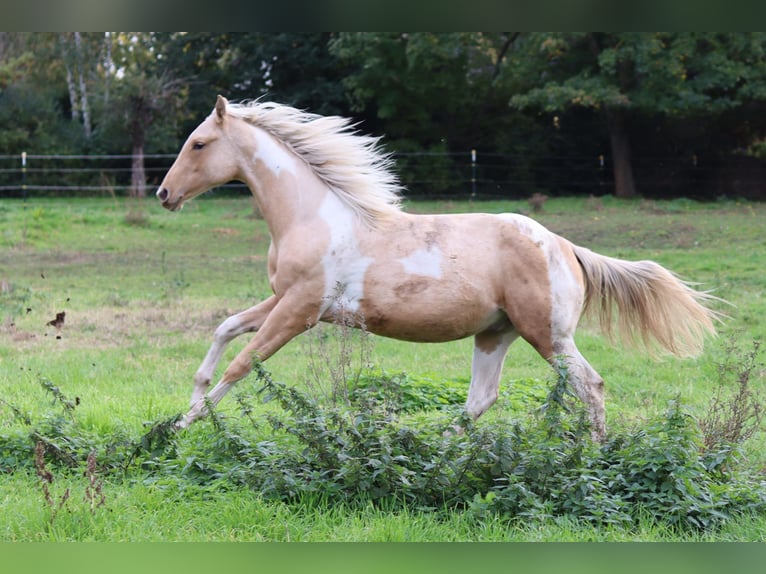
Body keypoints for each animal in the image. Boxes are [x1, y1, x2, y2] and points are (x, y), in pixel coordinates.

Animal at [154, 97, 720, 444]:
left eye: (199, 143)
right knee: (482, 398)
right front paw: (185, 410)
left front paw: (184, 426)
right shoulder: (282, 299)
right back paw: (432, 450)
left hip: (548, 335)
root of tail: (565, 246)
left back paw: (594, 457)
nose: (164, 194)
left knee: (591, 386)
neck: (314, 216)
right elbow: (224, 331)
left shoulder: (299, 310)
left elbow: (241, 363)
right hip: (496, 334)